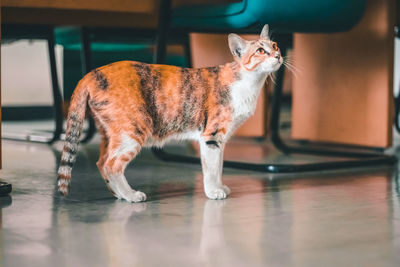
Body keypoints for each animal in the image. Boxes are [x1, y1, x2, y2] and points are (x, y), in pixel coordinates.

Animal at [57, 25, 282, 203]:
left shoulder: (221, 139)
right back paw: (130, 195)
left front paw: (220, 187)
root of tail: (91, 74)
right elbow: (211, 168)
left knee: (102, 162)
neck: (249, 83)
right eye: (260, 50)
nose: (278, 55)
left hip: (111, 132)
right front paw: (213, 192)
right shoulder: (211, 135)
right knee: (111, 165)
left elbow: (218, 166)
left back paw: (119, 194)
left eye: (275, 45)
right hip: (133, 129)